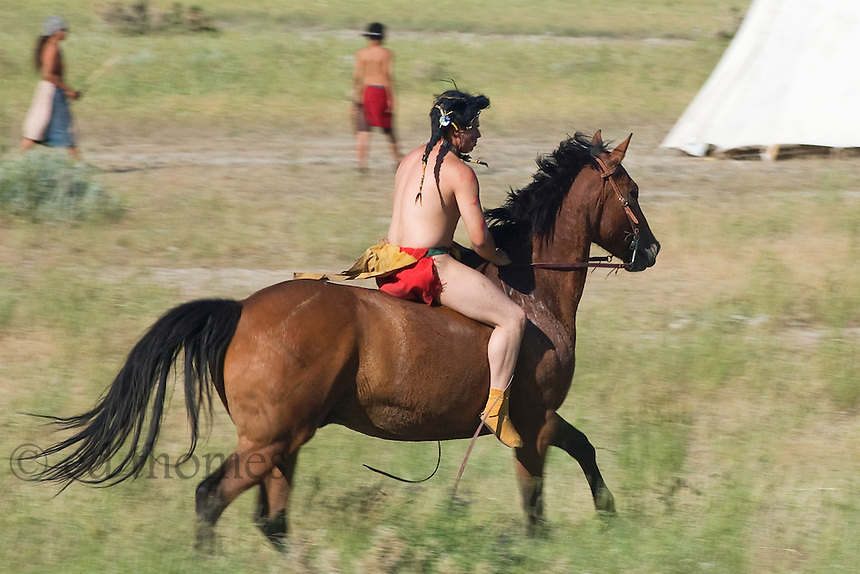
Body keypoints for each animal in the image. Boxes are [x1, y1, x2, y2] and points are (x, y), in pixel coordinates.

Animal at [25, 130, 660, 548]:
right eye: (631, 190)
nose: (651, 250)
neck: (534, 295)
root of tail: (240, 311)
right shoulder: (533, 423)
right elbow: (543, 496)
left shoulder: (541, 422)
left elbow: (581, 456)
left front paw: (607, 517)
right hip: (270, 442)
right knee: (212, 498)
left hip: (284, 443)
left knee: (271, 519)